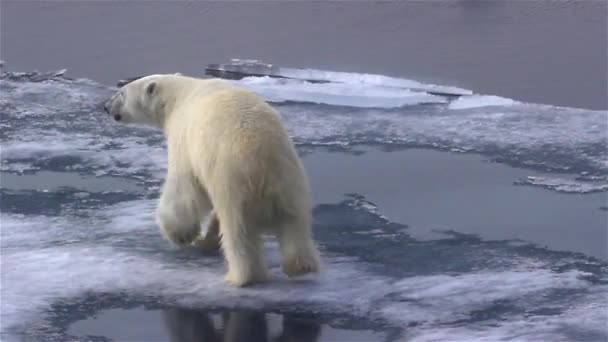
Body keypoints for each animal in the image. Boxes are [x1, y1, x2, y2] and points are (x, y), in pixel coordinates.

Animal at [103, 74, 324, 286]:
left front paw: (180, 235)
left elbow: (184, 191)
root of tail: (263, 166)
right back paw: (300, 266)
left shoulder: (184, 140)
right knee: (295, 225)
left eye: (121, 93)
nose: (105, 106)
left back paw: (242, 276)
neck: (178, 96)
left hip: (232, 182)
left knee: (238, 233)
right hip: (291, 182)